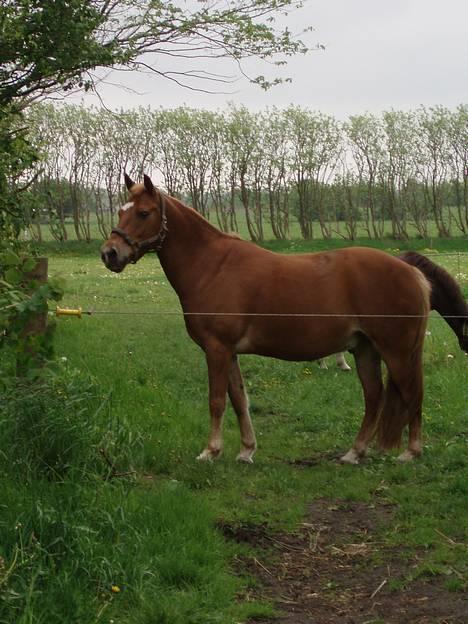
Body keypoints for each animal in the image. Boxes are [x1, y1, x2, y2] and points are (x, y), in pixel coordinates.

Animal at [101, 174, 432, 464]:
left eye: (144, 213)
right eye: (120, 211)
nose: (110, 253)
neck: (212, 266)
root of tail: (411, 273)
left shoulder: (217, 348)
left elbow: (216, 401)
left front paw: (210, 451)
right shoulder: (229, 351)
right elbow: (239, 400)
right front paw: (246, 450)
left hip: (397, 351)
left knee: (412, 393)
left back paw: (411, 452)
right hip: (365, 349)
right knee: (374, 397)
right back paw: (354, 453)